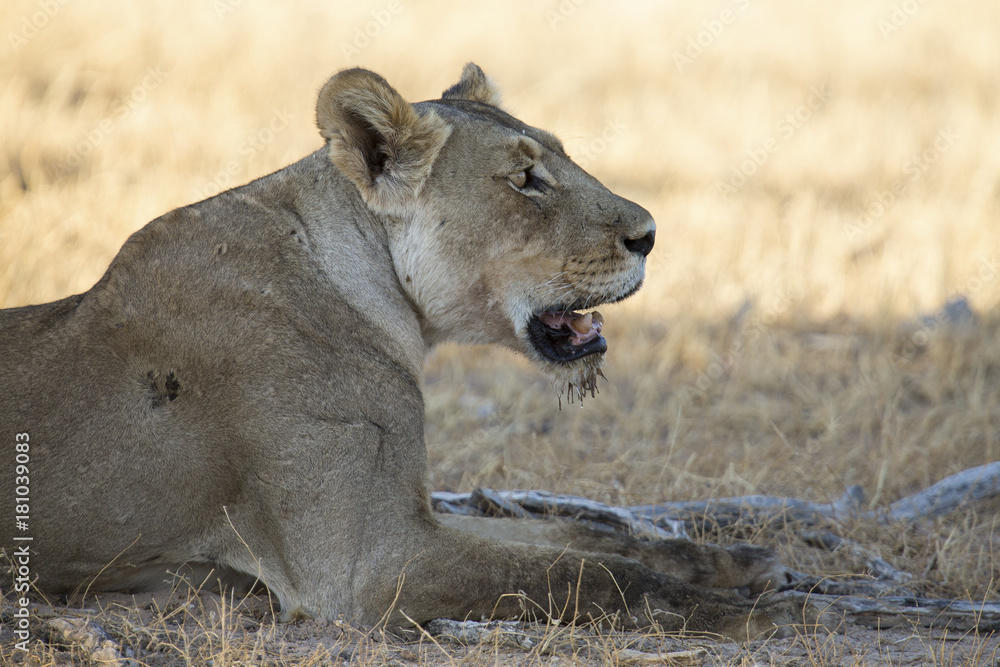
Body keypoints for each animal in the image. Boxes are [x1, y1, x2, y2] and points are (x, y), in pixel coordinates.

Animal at [1, 63, 820, 640]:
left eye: (561, 158)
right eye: (526, 178)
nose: (650, 235)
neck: (382, 298)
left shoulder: (411, 511)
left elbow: (582, 533)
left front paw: (739, 564)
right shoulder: (367, 565)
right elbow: (586, 575)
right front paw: (765, 615)